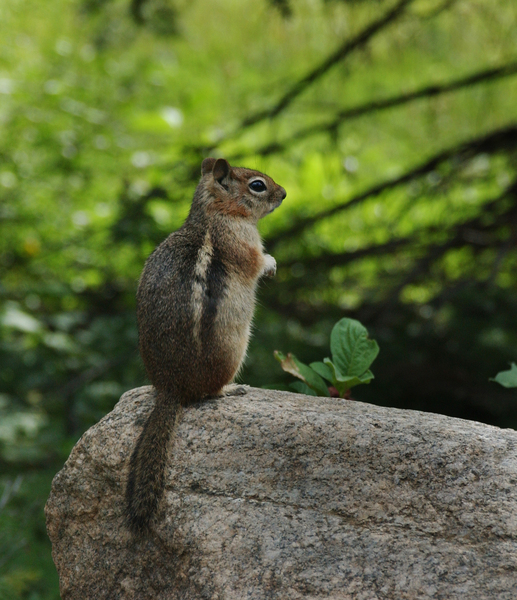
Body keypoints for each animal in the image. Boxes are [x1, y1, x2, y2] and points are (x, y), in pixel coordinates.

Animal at [126, 157, 286, 532]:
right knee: (209, 394)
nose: (285, 193)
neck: (215, 213)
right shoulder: (242, 241)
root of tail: (171, 389)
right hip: (233, 349)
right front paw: (271, 265)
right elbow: (257, 260)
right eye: (258, 185)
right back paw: (232, 389)